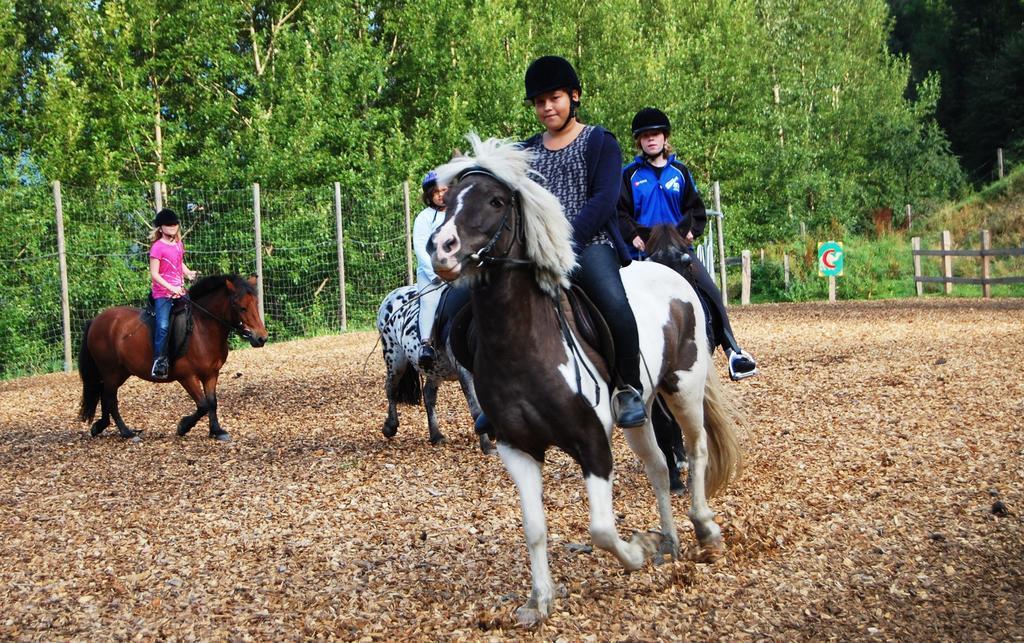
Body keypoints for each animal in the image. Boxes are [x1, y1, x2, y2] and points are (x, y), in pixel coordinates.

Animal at [78, 270, 268, 442]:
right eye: (241, 307)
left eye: (256, 303)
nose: (261, 338)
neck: (202, 329)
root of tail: (95, 321)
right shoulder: (187, 376)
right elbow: (203, 405)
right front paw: (183, 426)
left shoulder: (211, 374)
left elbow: (212, 402)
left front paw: (217, 431)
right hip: (110, 370)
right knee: (110, 399)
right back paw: (127, 433)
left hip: (120, 372)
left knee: (105, 395)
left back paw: (100, 426)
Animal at [428, 137, 741, 626]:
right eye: (447, 202)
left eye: (496, 201)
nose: (440, 248)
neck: (526, 342)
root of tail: (672, 274)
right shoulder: (517, 448)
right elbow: (535, 528)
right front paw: (539, 601)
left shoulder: (592, 442)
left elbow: (601, 529)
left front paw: (638, 550)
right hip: (640, 412)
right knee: (658, 467)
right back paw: (670, 543)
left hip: (683, 388)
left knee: (696, 450)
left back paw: (705, 531)